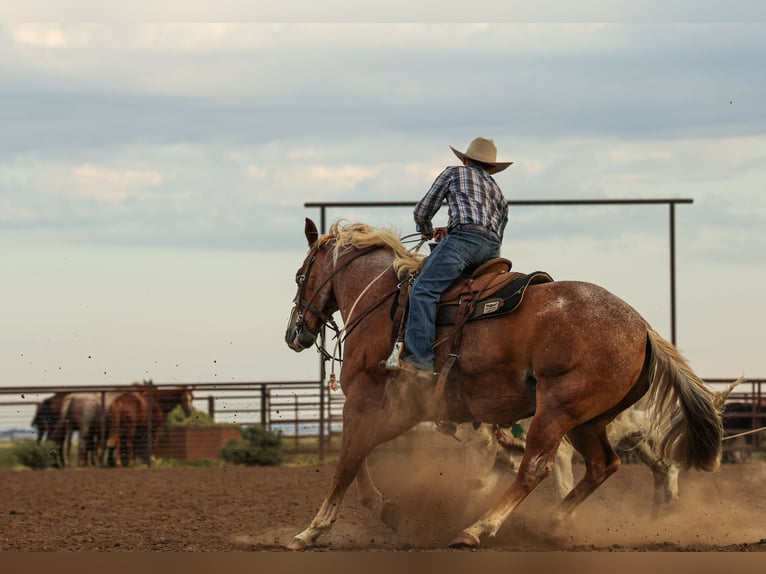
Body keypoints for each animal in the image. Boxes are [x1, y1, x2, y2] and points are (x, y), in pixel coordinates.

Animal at [283, 218, 726, 550]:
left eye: (300, 275)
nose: (294, 333)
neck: (385, 302)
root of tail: (643, 328)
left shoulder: (372, 399)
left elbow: (349, 457)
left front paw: (311, 530)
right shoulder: (405, 410)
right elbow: (358, 454)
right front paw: (383, 510)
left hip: (557, 409)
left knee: (535, 468)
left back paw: (477, 529)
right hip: (587, 420)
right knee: (604, 464)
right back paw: (551, 522)